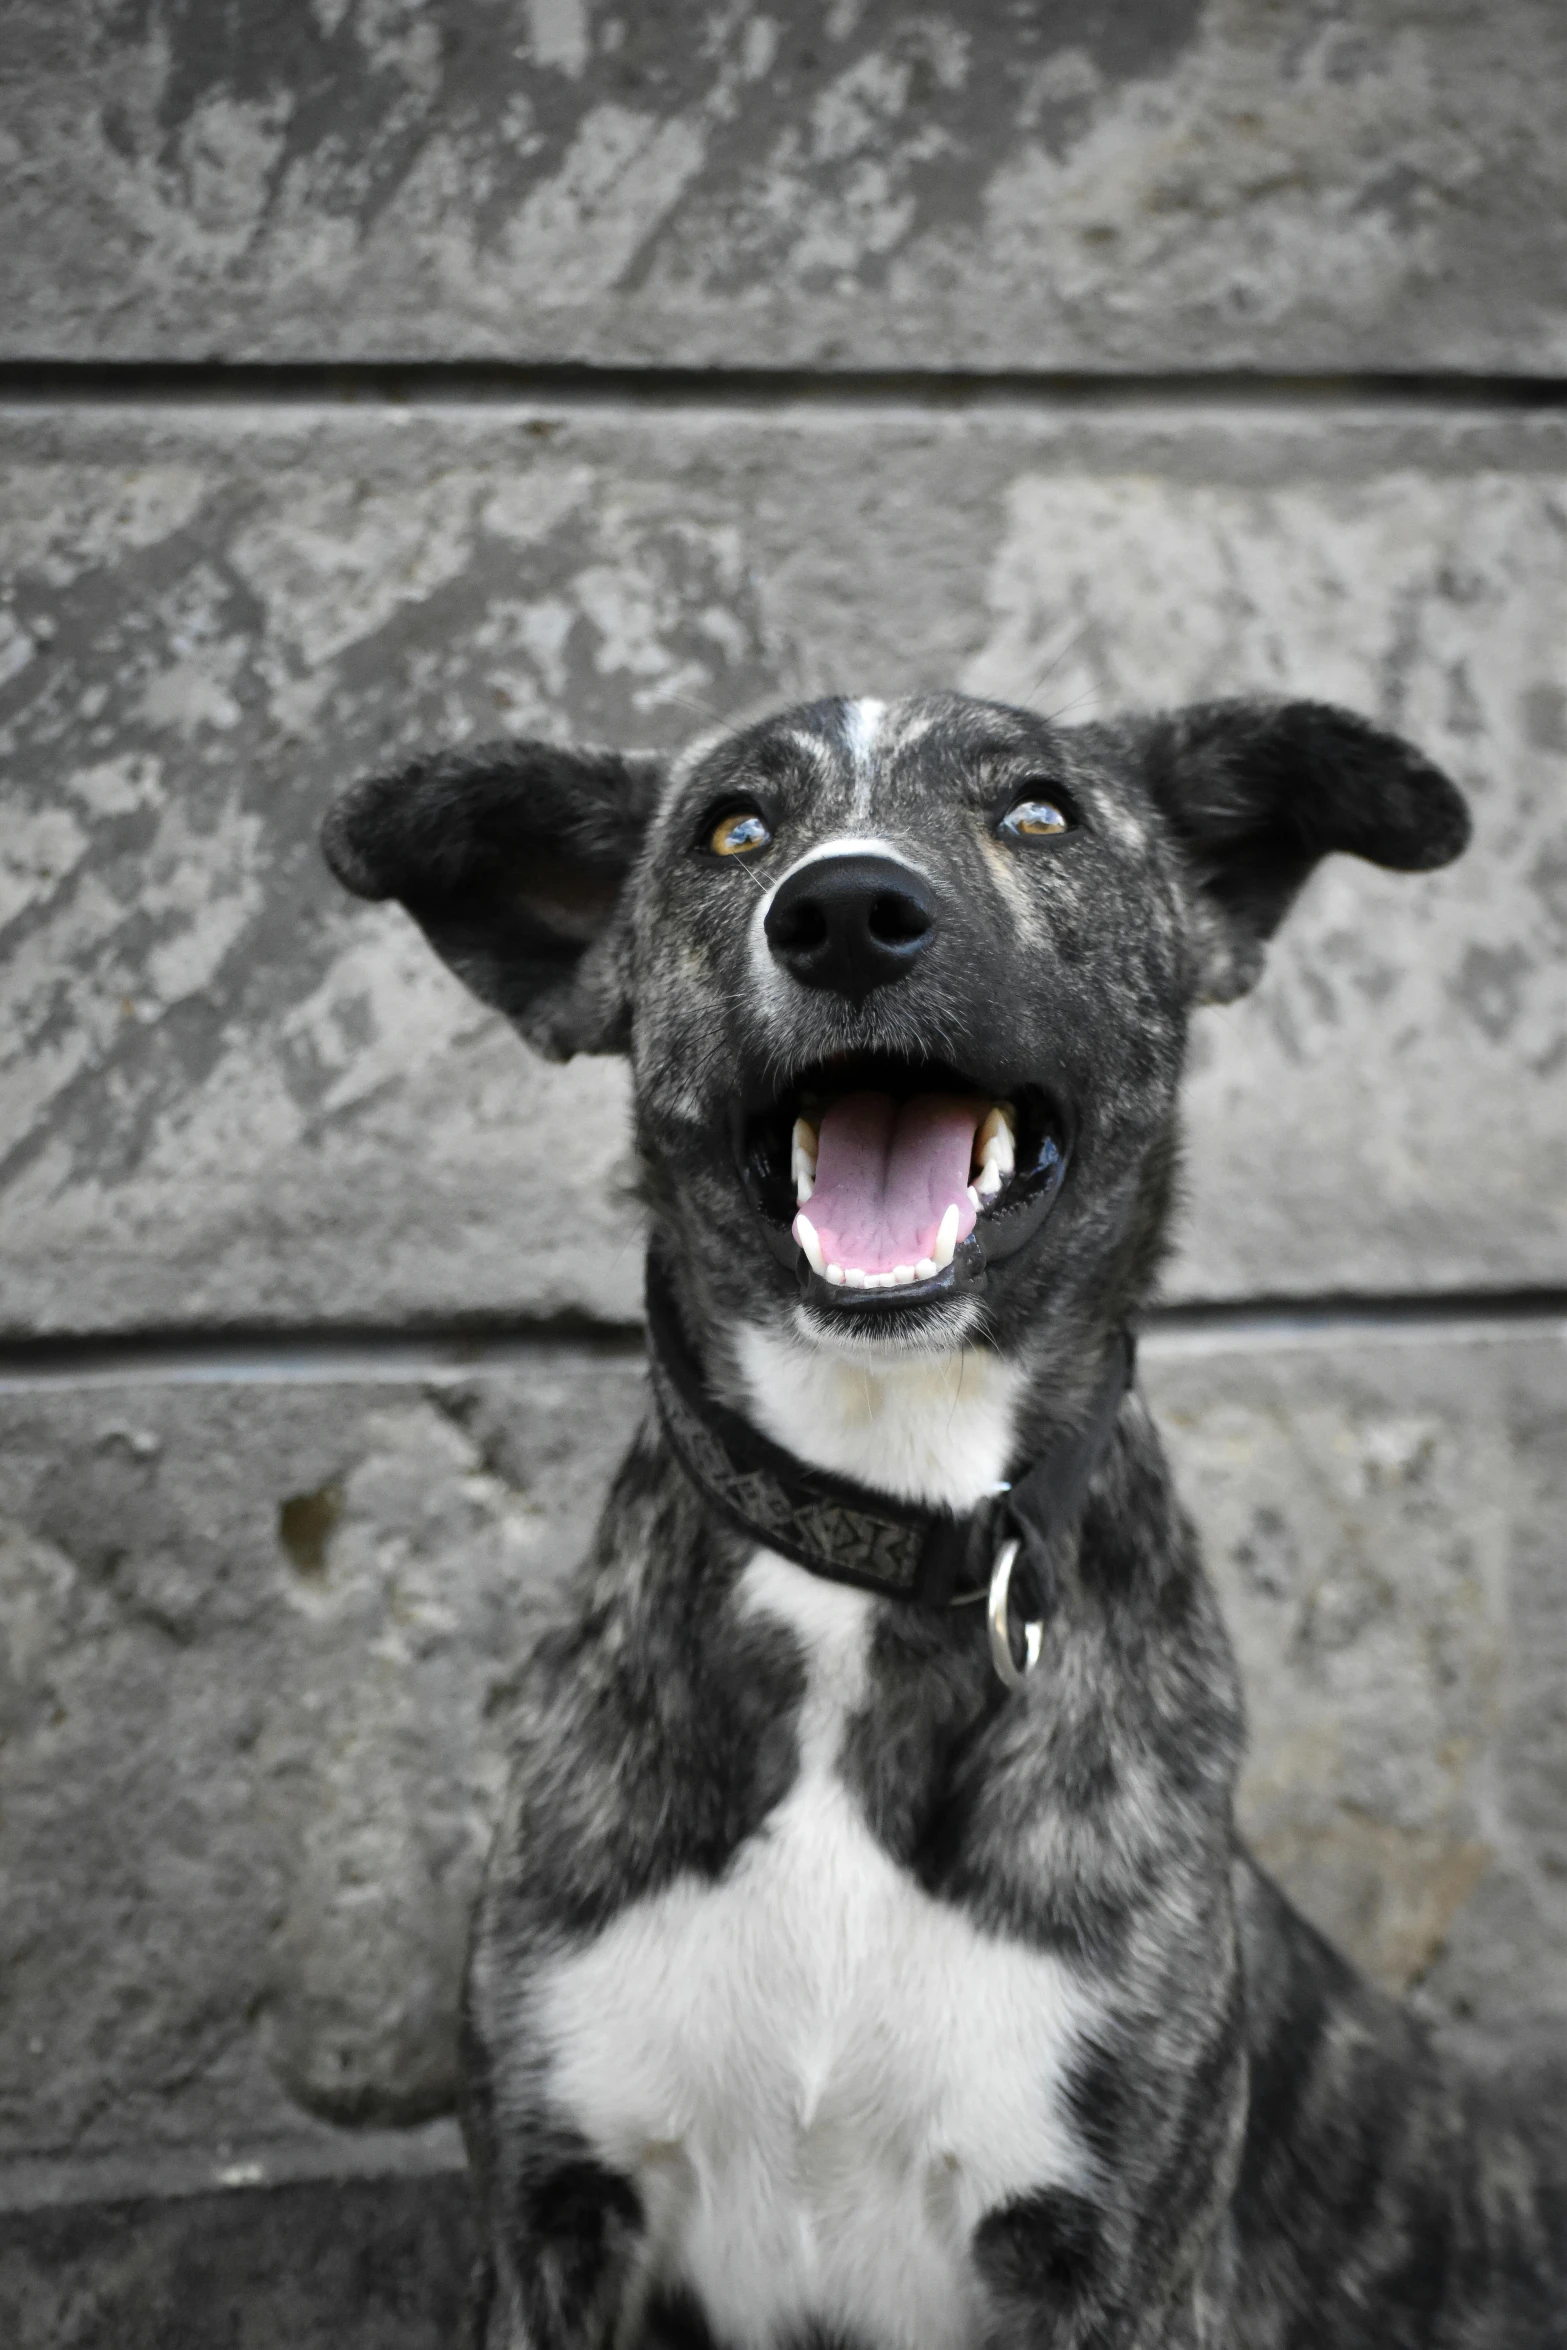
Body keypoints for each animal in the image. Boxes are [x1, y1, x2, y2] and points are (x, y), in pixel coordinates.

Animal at [321, 690, 1567, 2350]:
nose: (846, 911)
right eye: (733, 828)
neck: (882, 1503)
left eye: (1038, 812)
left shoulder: (1105, 2252)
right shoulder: (551, 2214)